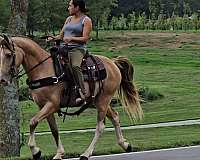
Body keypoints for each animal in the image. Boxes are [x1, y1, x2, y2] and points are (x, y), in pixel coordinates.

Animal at [0, 35, 142, 160]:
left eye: (8, 55)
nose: (2, 79)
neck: (43, 69)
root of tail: (112, 63)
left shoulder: (52, 104)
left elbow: (33, 122)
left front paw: (36, 151)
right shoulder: (43, 106)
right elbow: (54, 130)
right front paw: (59, 154)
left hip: (103, 101)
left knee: (100, 126)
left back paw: (86, 154)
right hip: (97, 101)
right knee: (115, 116)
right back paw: (125, 144)